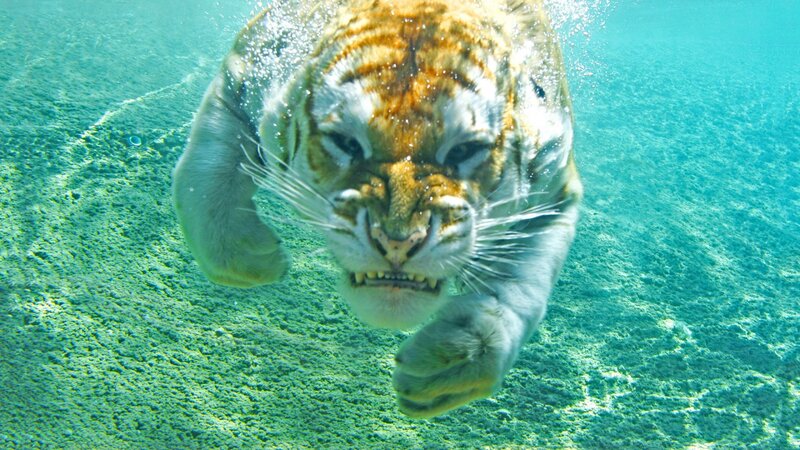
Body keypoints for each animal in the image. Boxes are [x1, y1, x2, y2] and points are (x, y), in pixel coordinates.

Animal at [173, 0, 582, 418]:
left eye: (464, 151)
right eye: (346, 143)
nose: (397, 242)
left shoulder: (556, 189)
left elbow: (522, 290)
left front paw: (451, 365)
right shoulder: (243, 75)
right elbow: (201, 173)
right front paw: (258, 260)